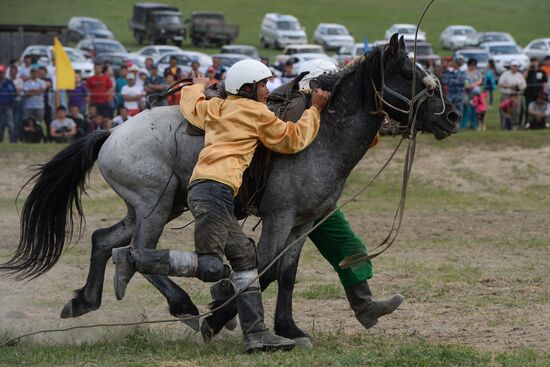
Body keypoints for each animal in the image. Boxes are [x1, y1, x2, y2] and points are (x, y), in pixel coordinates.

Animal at [1, 34, 462, 348]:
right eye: (409, 73)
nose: (453, 116)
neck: (320, 135)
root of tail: (112, 132)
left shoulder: (305, 222)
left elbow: (286, 274)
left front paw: (289, 327)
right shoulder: (279, 217)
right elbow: (266, 269)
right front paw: (220, 318)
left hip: (156, 207)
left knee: (105, 241)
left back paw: (85, 301)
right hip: (154, 206)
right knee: (137, 254)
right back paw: (186, 307)